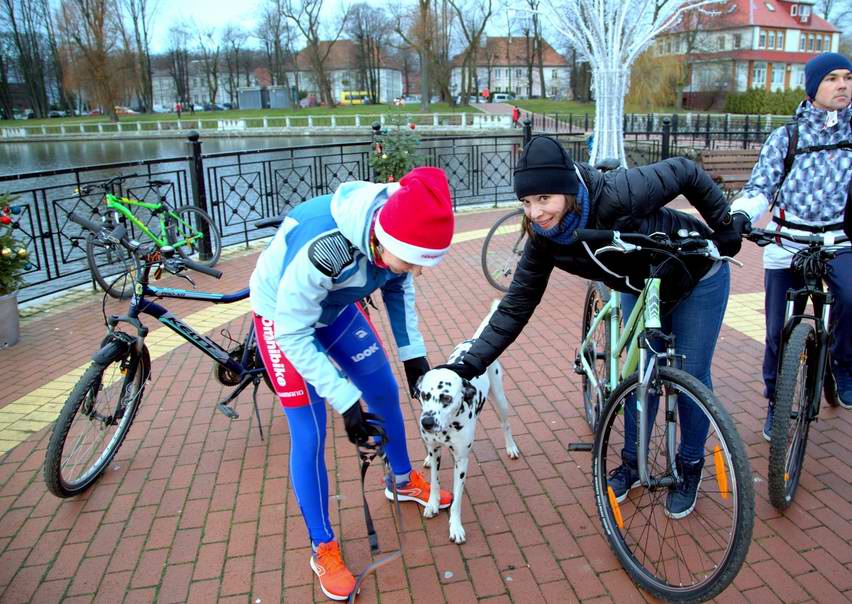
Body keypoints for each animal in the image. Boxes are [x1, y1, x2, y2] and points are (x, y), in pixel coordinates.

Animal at [412, 300, 520, 544]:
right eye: (423, 395)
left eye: (446, 397)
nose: (426, 423)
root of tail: (474, 340)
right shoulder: (436, 449)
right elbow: (434, 481)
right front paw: (432, 504)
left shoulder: (461, 461)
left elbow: (457, 500)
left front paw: (456, 527)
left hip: (501, 401)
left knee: (506, 424)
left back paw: (511, 447)